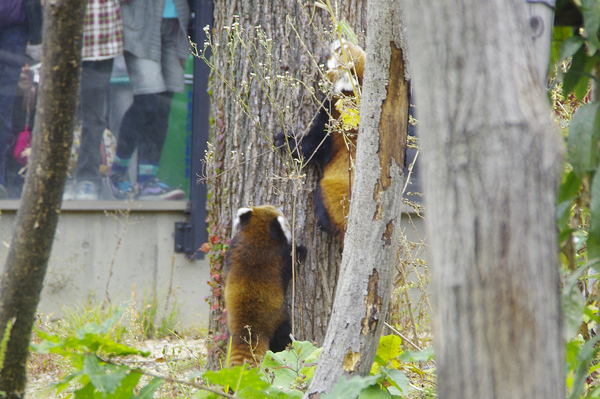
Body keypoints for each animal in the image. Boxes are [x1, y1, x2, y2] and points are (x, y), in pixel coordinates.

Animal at [224, 206, 304, 366]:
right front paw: (300, 250)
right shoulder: (280, 257)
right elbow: (291, 263)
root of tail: (246, 331)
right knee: (283, 338)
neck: (256, 236)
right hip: (277, 321)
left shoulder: (233, 247)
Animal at [274, 39, 366, 241]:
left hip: (332, 195)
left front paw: (285, 140)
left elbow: (311, 147)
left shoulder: (333, 127)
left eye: (338, 50)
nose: (337, 40)